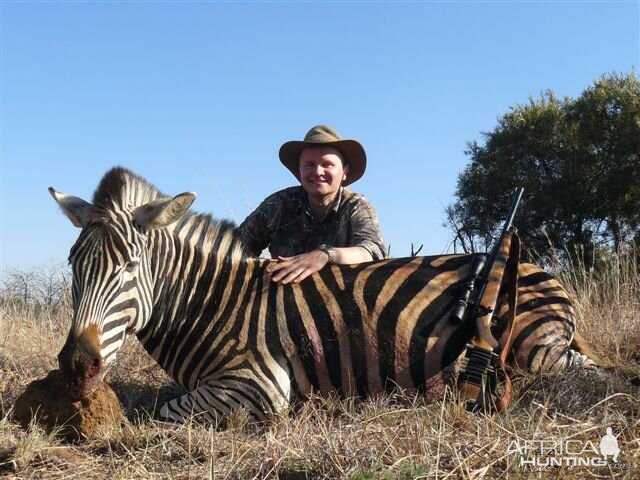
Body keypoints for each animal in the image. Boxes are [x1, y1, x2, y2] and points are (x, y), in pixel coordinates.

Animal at [48, 168, 616, 420]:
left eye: (128, 267)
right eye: (74, 264)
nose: (76, 366)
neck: (209, 304)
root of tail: (538, 267)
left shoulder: (260, 384)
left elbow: (158, 412)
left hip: (533, 350)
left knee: (590, 373)